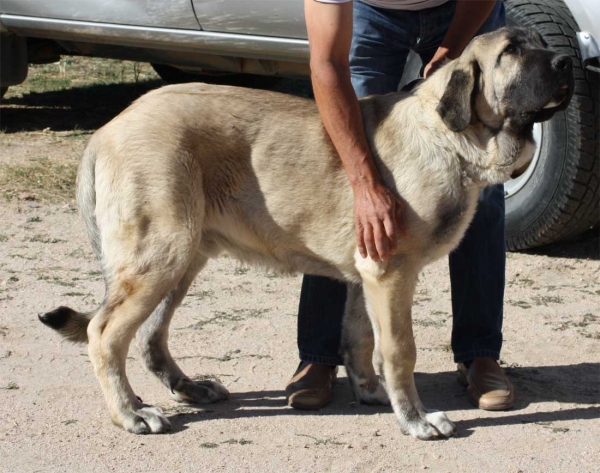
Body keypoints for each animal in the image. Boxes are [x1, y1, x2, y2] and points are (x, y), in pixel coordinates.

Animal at [39, 26, 576, 438]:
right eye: (512, 51)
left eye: (538, 43)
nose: (568, 61)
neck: (449, 138)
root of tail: (107, 130)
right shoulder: (391, 274)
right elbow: (399, 350)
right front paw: (416, 420)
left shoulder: (368, 275)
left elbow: (360, 340)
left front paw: (370, 393)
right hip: (161, 253)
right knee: (104, 333)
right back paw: (131, 414)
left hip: (181, 258)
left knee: (150, 337)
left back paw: (188, 389)